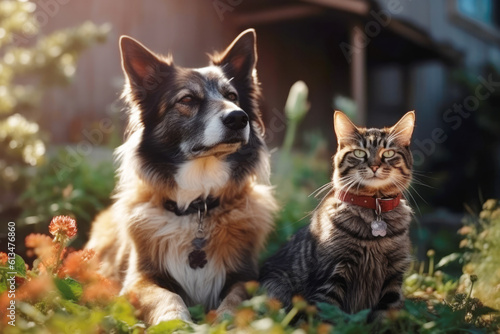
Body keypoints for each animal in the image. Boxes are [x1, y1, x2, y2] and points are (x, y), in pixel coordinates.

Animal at [84, 29, 276, 324]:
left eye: (232, 96)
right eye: (187, 100)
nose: (238, 118)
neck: (197, 207)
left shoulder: (246, 277)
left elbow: (236, 300)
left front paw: (225, 322)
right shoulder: (139, 280)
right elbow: (168, 297)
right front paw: (177, 323)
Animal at [260, 110, 416, 320]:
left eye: (389, 153)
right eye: (359, 153)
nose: (374, 166)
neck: (373, 209)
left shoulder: (393, 276)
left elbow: (385, 316)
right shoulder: (332, 273)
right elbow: (329, 317)